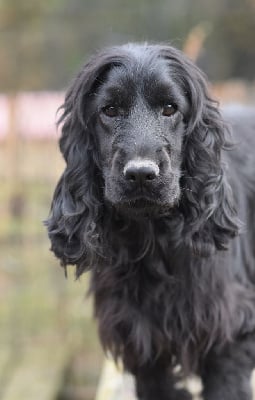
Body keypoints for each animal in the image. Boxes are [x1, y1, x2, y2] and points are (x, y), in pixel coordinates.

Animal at [46, 42, 255, 398]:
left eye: (170, 108)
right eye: (110, 110)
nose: (141, 174)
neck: (154, 238)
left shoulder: (227, 335)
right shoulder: (141, 343)